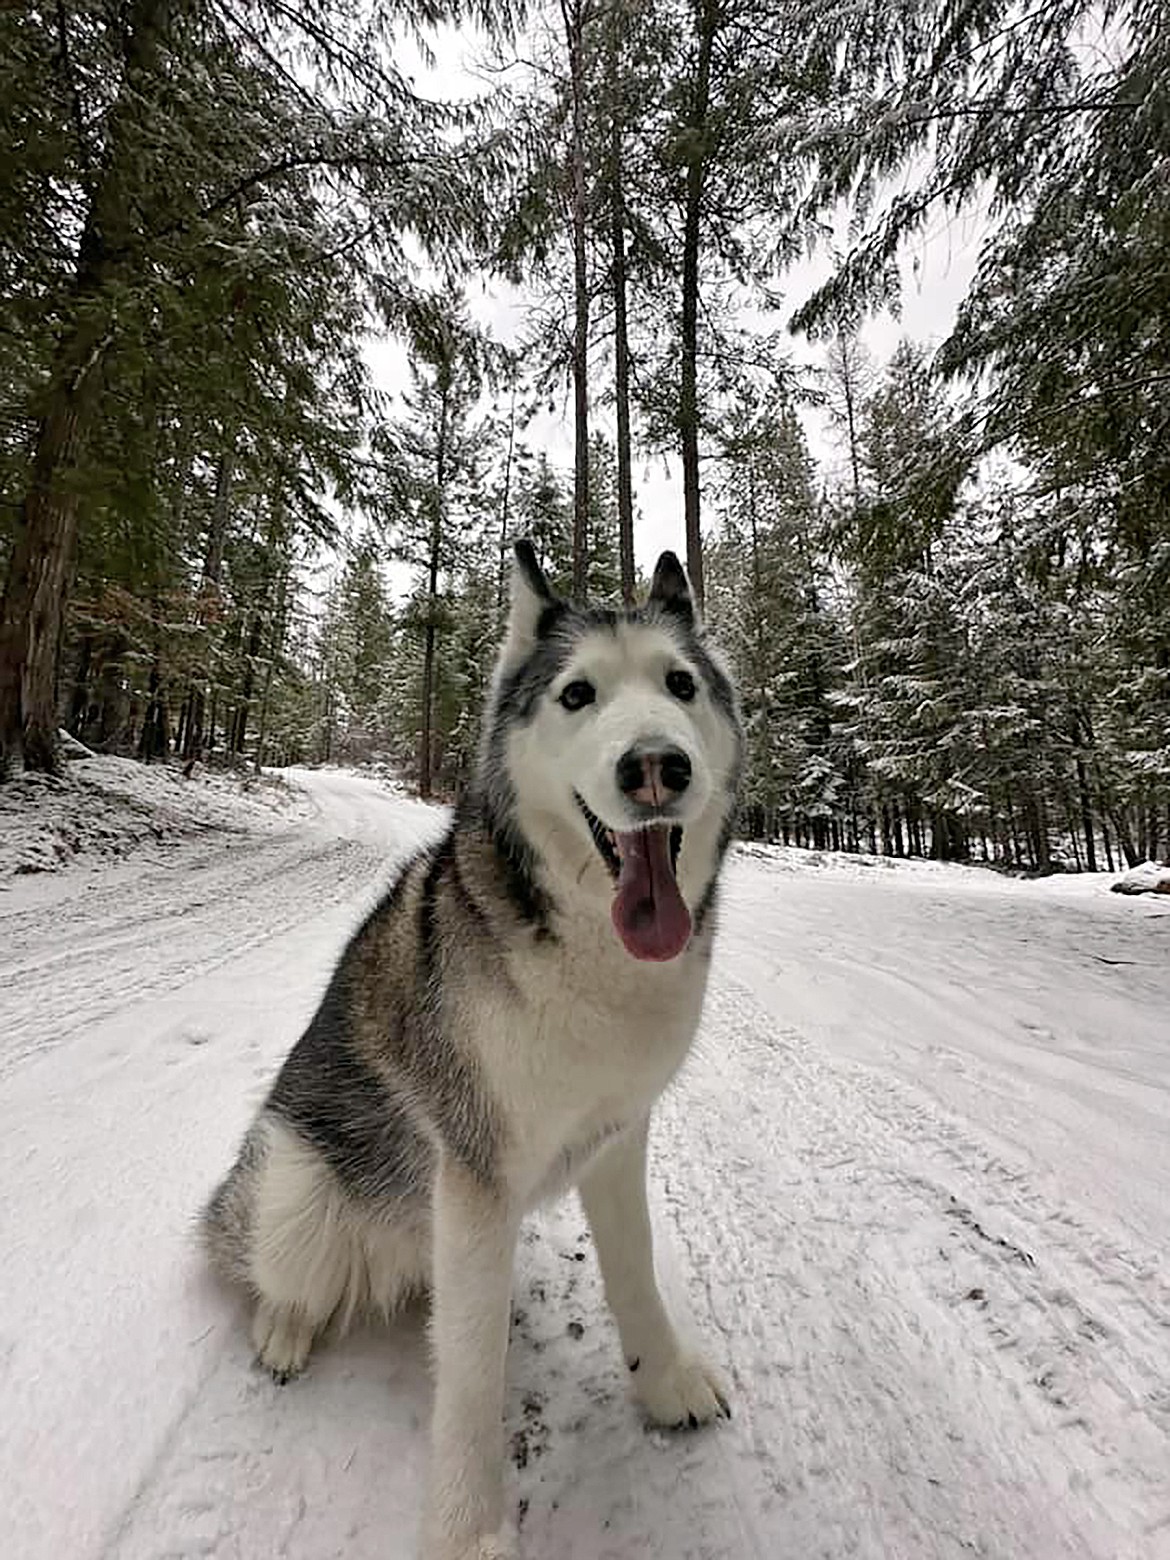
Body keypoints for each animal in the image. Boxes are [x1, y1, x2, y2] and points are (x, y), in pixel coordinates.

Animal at [204, 539, 742, 1560]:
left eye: (680, 684)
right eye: (578, 695)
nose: (657, 765)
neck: (590, 955)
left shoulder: (617, 1136)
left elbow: (635, 1272)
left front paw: (664, 1383)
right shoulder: (475, 1172)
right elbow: (470, 1379)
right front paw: (470, 1531)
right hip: (298, 1194)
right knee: (271, 1267)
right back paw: (285, 1328)